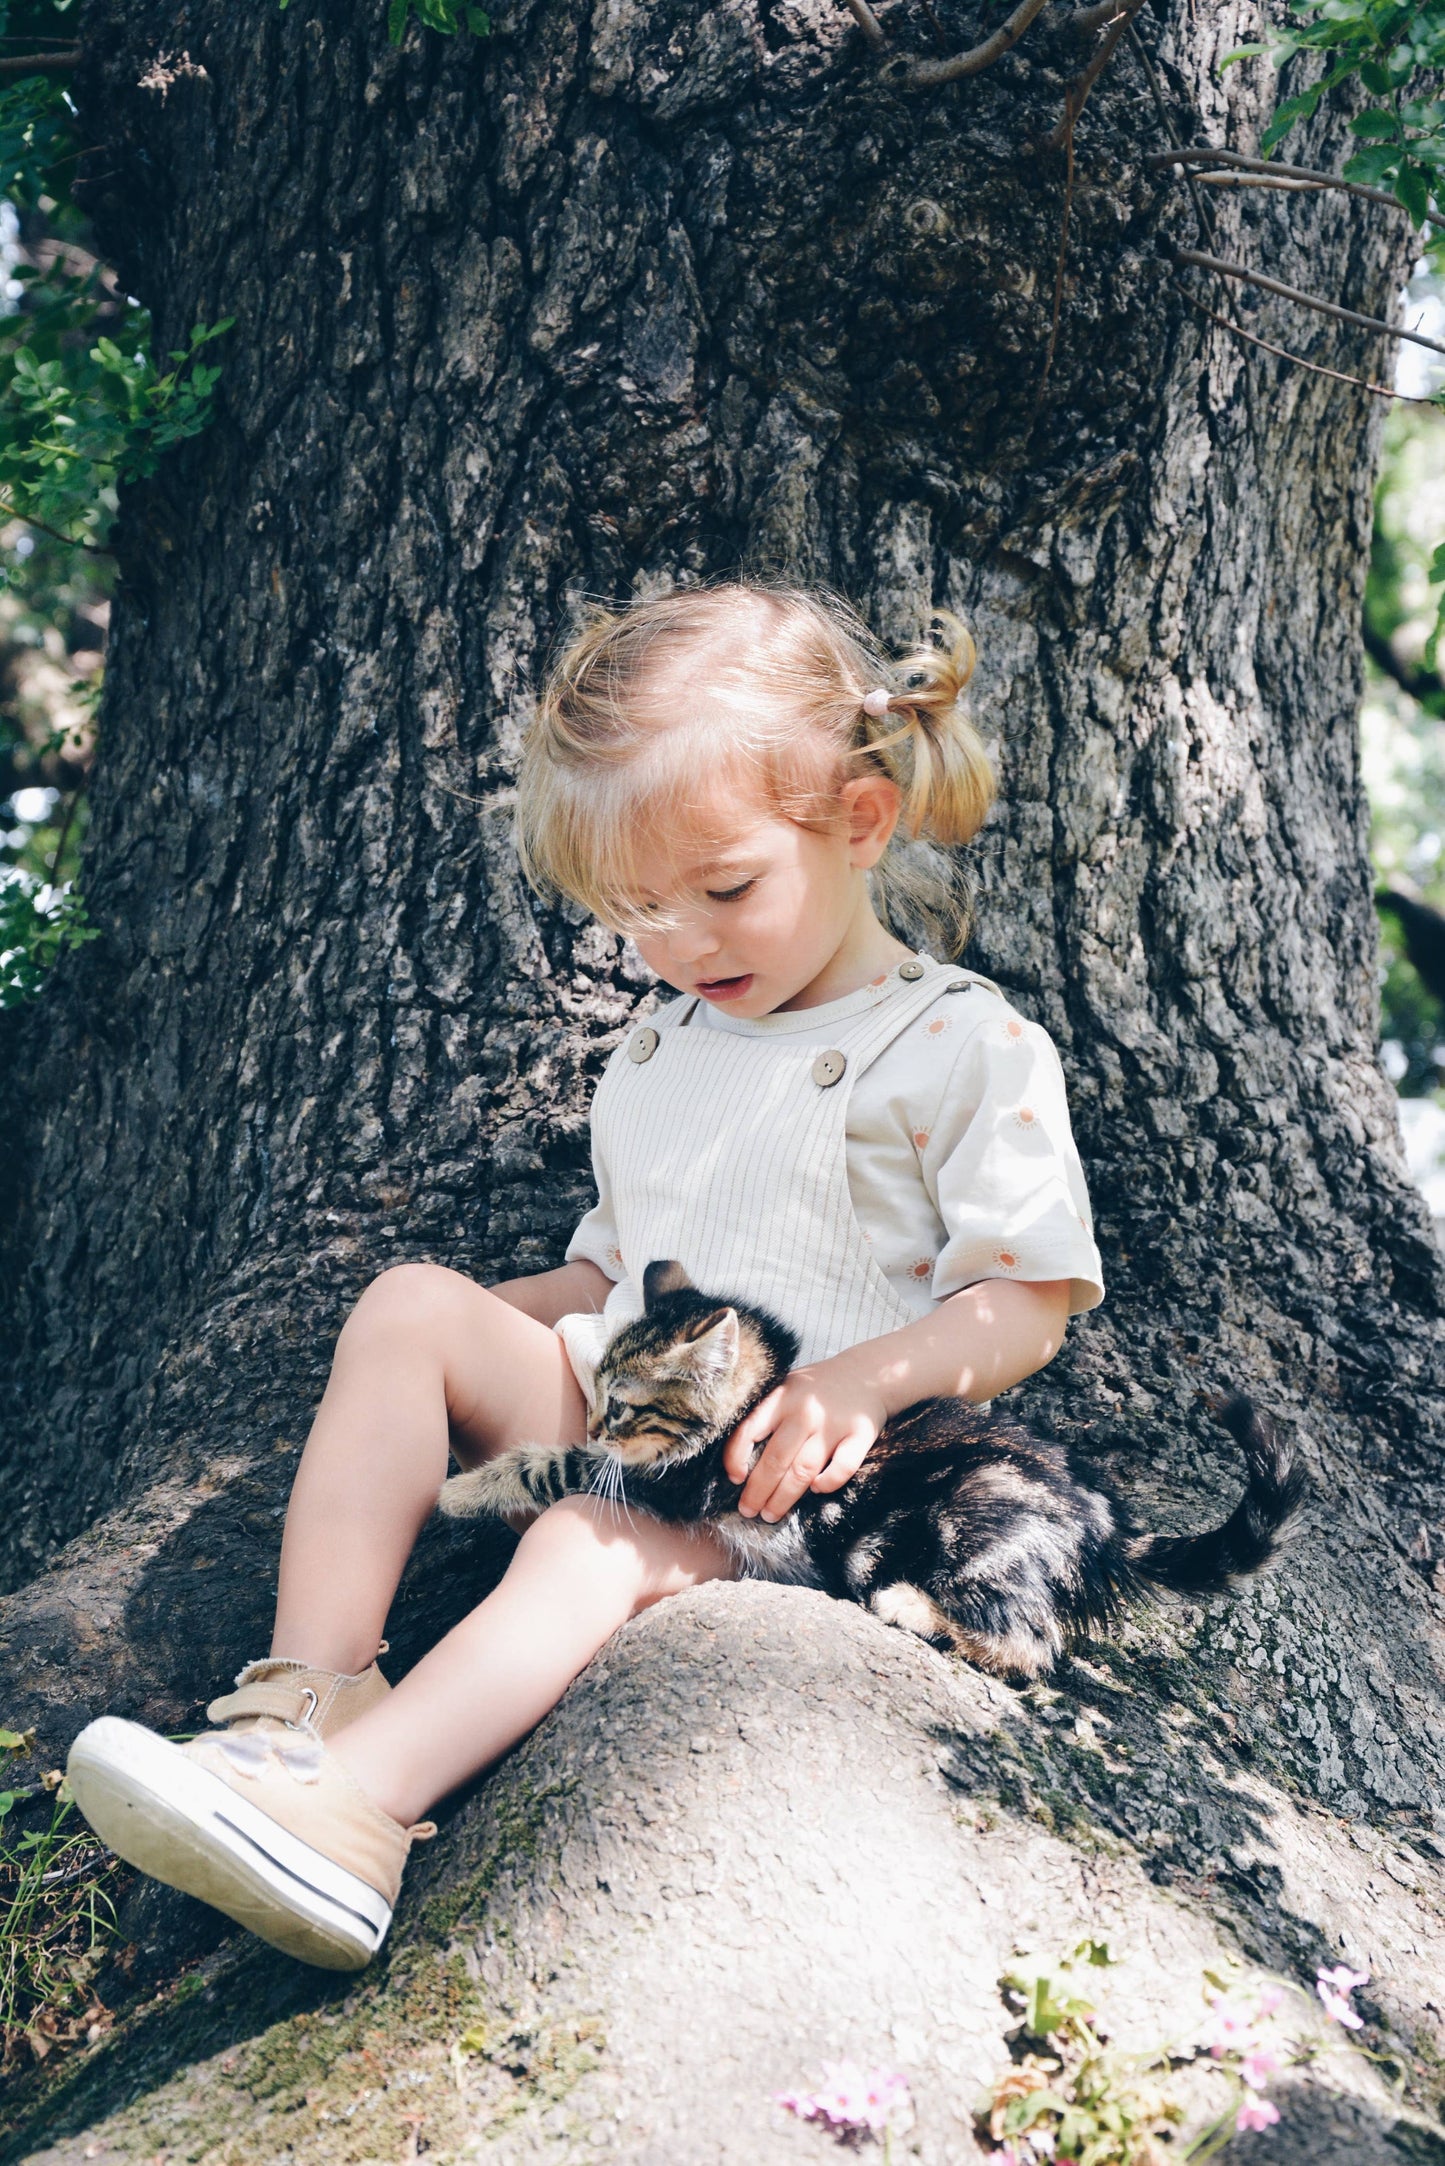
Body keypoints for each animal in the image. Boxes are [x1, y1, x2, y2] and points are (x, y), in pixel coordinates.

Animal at [435, 1264, 1308, 1680]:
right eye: (596, 1390)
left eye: (619, 1408)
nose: (593, 1421)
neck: (755, 1403)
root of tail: (1102, 1524)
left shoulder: (672, 1481)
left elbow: (549, 1463)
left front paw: (459, 1489)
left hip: (973, 1528)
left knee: (1034, 1645)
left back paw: (908, 1606)